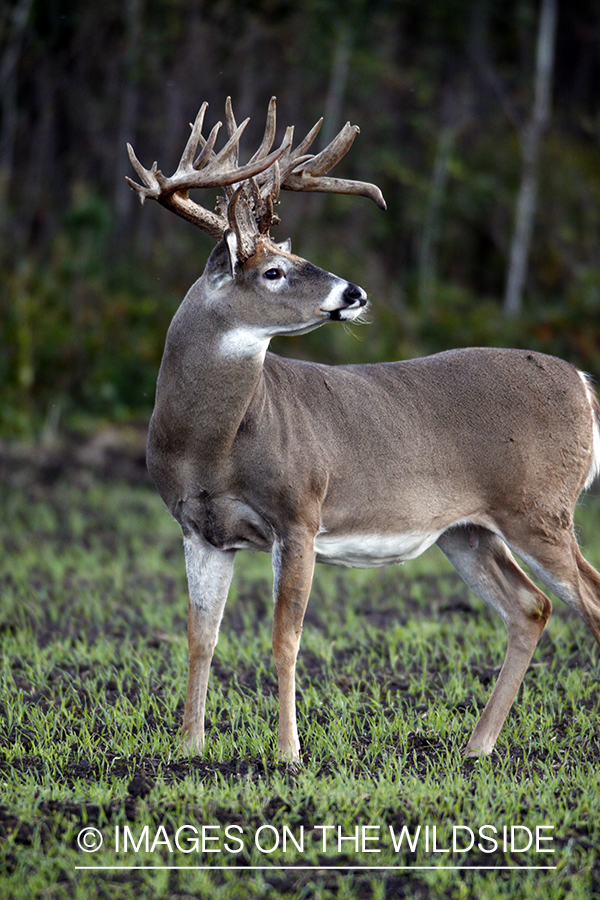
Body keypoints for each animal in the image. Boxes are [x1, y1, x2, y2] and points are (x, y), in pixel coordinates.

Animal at [127, 96, 600, 760]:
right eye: (275, 271)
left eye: (294, 260)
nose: (353, 291)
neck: (210, 446)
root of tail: (583, 383)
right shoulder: (200, 529)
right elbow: (201, 637)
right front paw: (189, 749)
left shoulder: (300, 513)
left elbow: (285, 639)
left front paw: (288, 753)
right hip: (468, 529)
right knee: (530, 607)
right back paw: (475, 746)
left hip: (541, 507)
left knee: (587, 600)